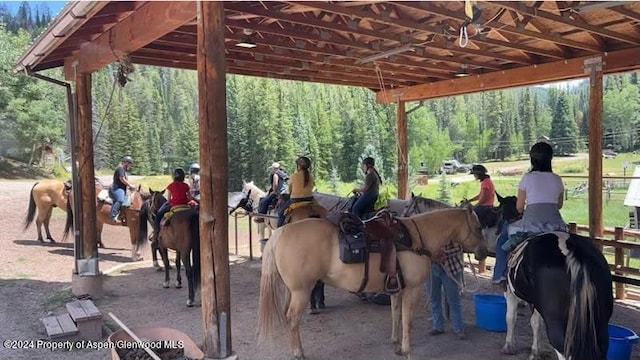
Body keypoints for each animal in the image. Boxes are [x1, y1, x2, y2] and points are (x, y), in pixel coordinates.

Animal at [258, 205, 488, 358]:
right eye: (478, 227)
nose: (483, 253)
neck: (416, 238)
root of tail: (280, 233)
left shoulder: (397, 288)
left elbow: (396, 315)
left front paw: (396, 346)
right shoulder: (412, 290)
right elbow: (408, 321)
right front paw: (407, 350)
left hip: (291, 291)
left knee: (288, 318)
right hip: (301, 292)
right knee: (292, 319)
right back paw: (298, 352)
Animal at [498, 195, 612, 358]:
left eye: (499, 210)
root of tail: (574, 251)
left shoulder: (510, 292)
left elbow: (510, 317)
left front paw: (509, 346)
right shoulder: (536, 302)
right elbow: (535, 323)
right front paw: (535, 352)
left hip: (556, 321)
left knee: (562, 349)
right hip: (599, 325)